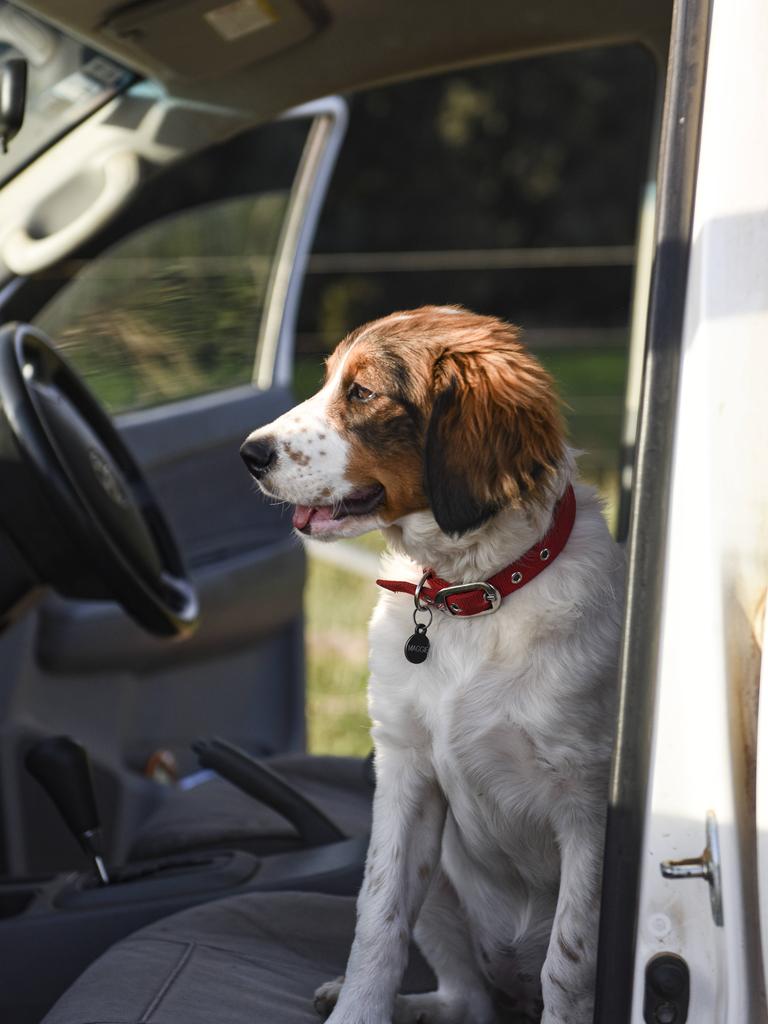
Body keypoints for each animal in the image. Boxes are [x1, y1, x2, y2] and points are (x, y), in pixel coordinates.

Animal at [240, 305, 626, 1024]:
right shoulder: (406, 775)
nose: (248, 454)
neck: (472, 596)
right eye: (328, 379)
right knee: (467, 998)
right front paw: (356, 1010)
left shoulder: (588, 807)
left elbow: (570, 962)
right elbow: (377, 918)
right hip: (444, 880)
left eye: (362, 392)